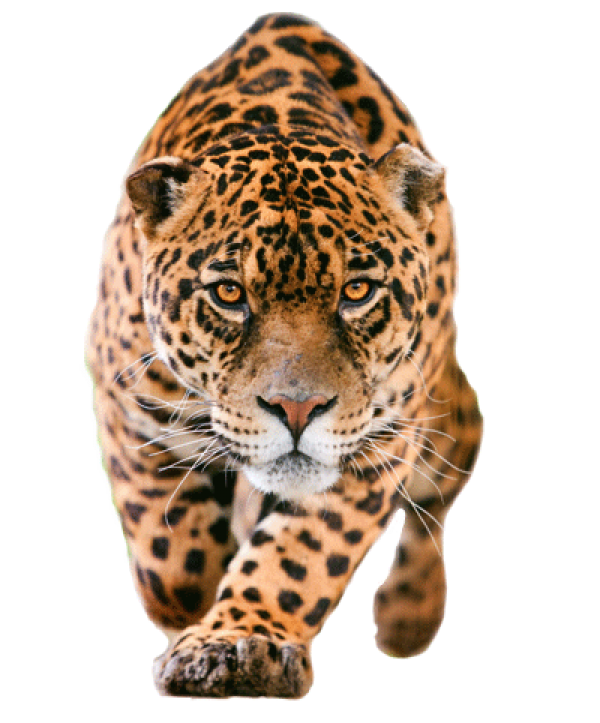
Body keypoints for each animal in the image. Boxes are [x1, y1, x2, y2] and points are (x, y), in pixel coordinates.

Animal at [84, 12, 483, 698]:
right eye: (229, 294)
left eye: (357, 291)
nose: (298, 410)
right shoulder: (127, 404)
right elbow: (171, 551)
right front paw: (197, 612)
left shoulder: (378, 439)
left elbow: (302, 553)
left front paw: (242, 643)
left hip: (444, 421)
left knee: (438, 496)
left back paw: (409, 615)